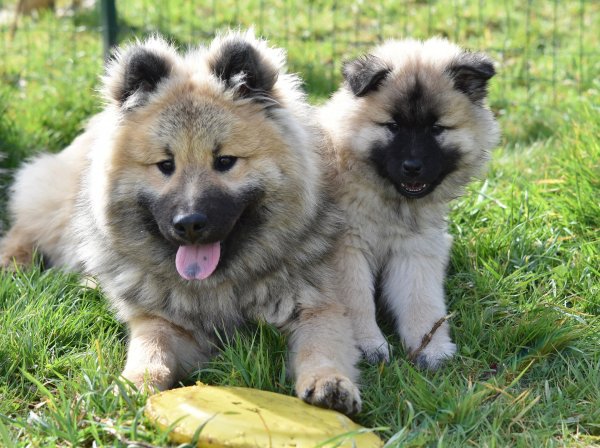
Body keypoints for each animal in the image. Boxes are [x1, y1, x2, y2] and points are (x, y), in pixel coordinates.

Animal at [322, 38, 500, 368]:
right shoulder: (346, 250)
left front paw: (430, 346)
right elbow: (355, 302)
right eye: (393, 126)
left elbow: (421, 300)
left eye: (436, 128)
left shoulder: (416, 249)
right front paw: (367, 344)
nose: (413, 167)